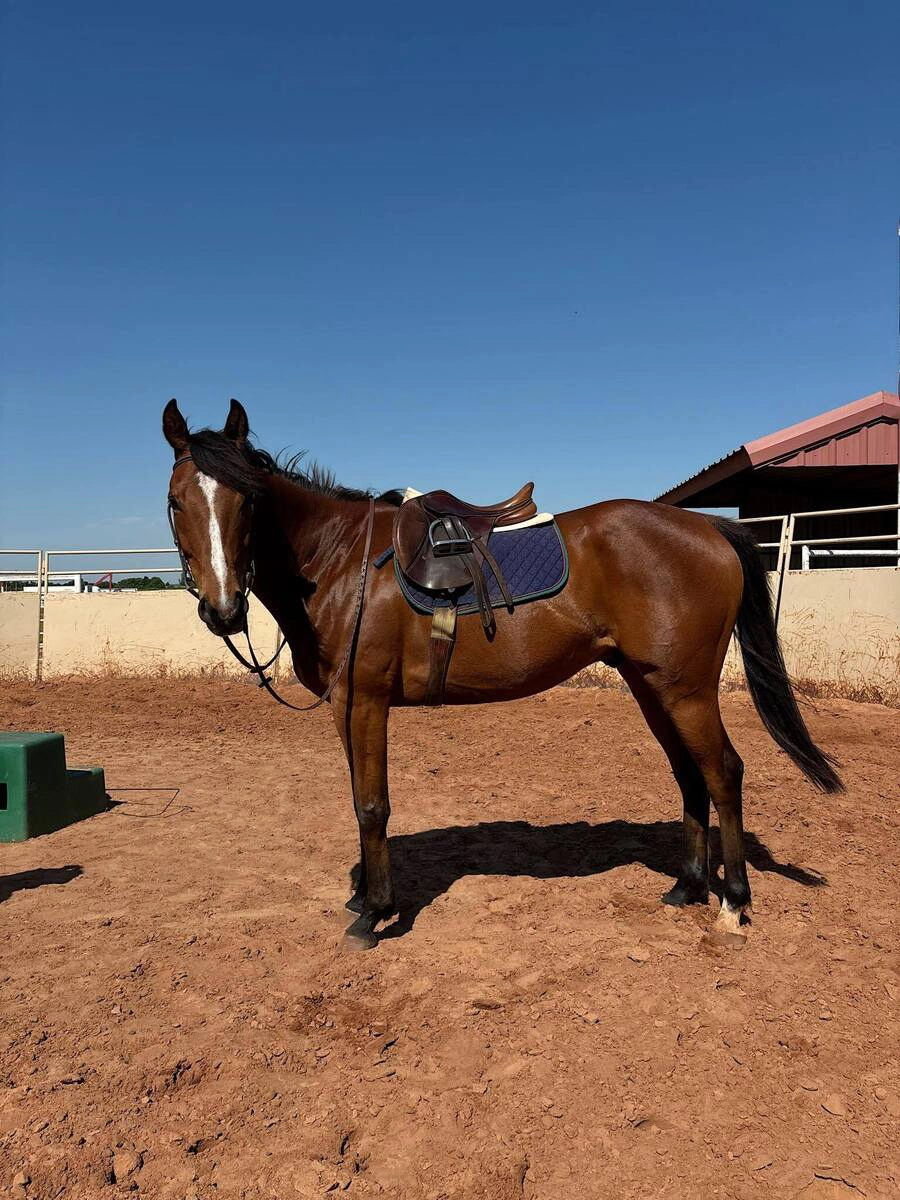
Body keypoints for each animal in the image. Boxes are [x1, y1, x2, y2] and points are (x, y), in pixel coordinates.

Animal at [163, 398, 842, 950]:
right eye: (176, 502)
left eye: (249, 500)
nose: (223, 610)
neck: (341, 563)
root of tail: (709, 526)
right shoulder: (342, 705)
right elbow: (357, 797)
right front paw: (362, 897)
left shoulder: (366, 700)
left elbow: (372, 804)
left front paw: (374, 913)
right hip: (652, 685)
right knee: (690, 774)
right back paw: (688, 886)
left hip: (687, 690)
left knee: (724, 772)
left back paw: (732, 906)